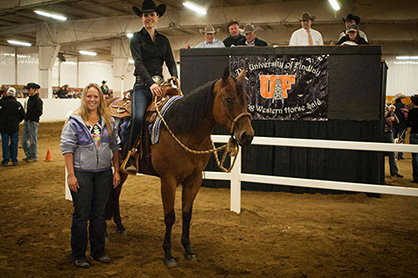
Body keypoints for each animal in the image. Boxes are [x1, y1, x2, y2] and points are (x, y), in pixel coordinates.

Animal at [106, 68, 253, 268]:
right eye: (228, 99)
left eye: (247, 98)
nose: (247, 135)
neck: (184, 130)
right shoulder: (168, 180)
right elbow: (170, 216)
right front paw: (168, 255)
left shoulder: (194, 179)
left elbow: (186, 214)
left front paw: (188, 249)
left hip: (121, 170)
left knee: (116, 191)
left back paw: (120, 227)